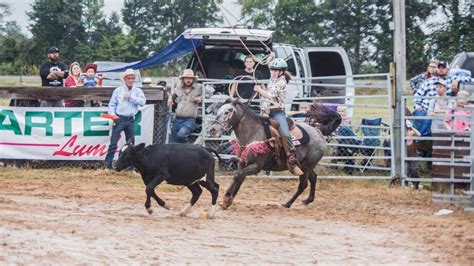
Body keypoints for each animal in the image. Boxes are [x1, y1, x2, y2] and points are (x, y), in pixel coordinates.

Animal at [208, 98, 340, 209]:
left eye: (228, 112)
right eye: (218, 111)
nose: (213, 130)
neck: (254, 133)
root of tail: (318, 131)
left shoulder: (256, 166)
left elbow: (237, 176)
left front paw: (226, 198)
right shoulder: (243, 163)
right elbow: (239, 178)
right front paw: (228, 201)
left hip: (307, 166)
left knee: (303, 185)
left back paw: (288, 203)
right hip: (304, 165)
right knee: (313, 177)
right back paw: (308, 200)